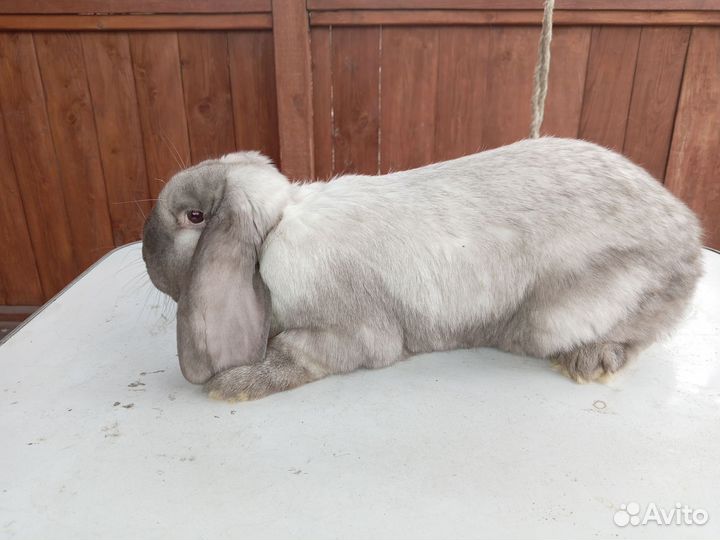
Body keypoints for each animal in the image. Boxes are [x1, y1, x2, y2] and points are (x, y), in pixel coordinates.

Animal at [142, 137, 703, 401]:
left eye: (193, 217)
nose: (145, 254)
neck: (276, 229)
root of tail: (689, 237)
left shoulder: (355, 331)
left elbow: (296, 353)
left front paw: (233, 385)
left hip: (564, 314)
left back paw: (589, 361)